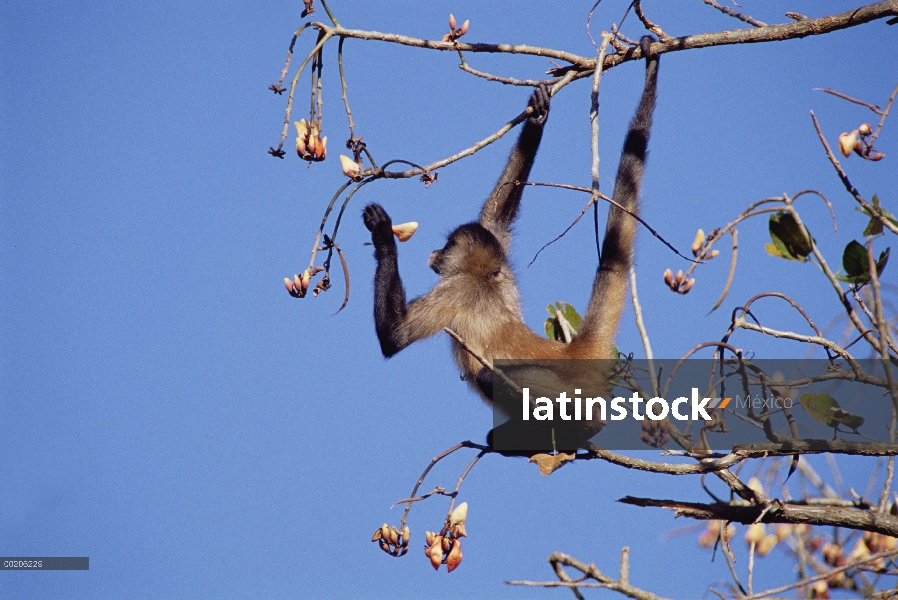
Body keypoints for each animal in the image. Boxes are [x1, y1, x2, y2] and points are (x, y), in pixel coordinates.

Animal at [364, 36, 656, 450]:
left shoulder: (459, 287)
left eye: (448, 247)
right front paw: (538, 118)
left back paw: (581, 429)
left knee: (490, 377)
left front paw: (383, 233)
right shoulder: (501, 268)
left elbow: (395, 334)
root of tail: (570, 352)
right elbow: (496, 214)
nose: (435, 254)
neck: (485, 278)